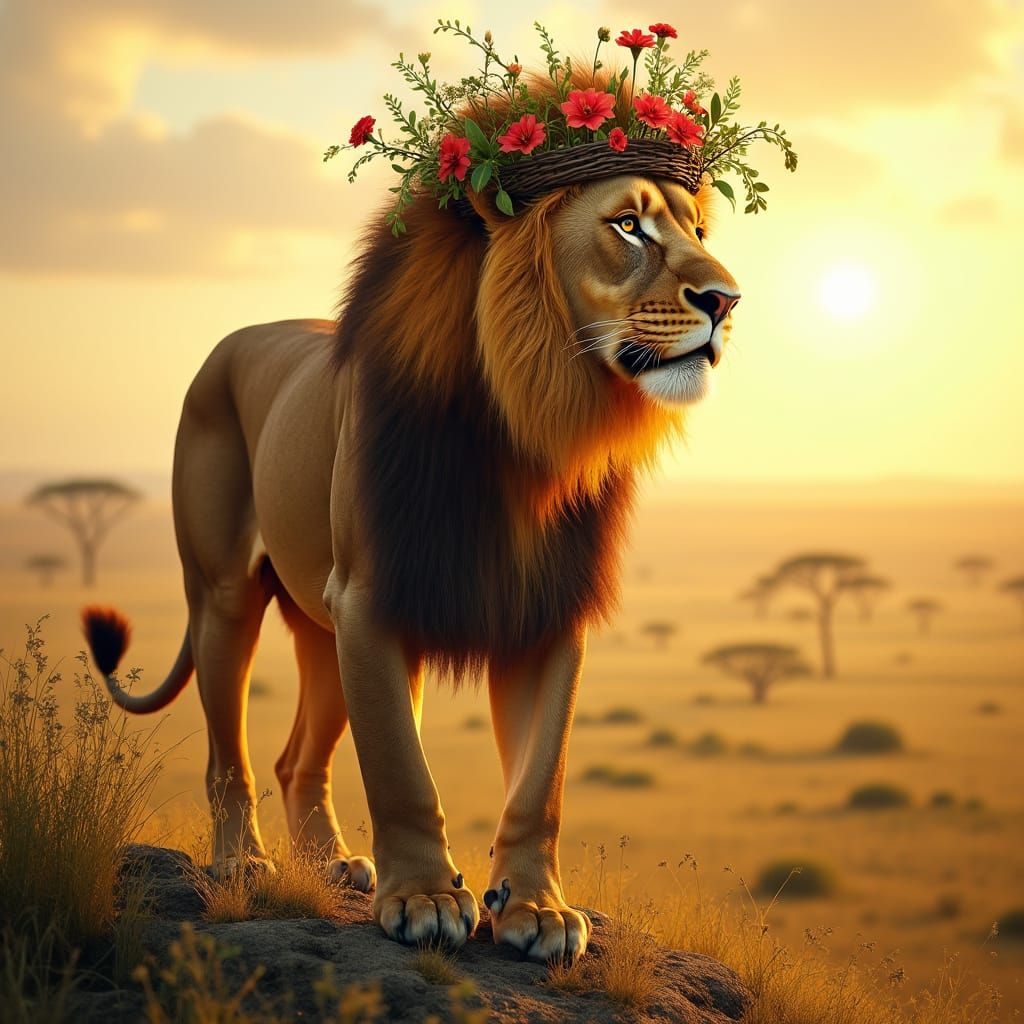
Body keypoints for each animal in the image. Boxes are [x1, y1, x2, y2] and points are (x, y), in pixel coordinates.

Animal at [84, 152, 739, 962]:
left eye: (699, 230)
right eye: (627, 225)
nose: (726, 301)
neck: (523, 428)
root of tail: (235, 338)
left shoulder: (546, 612)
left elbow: (539, 782)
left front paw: (538, 909)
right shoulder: (370, 598)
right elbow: (400, 767)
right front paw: (426, 898)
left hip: (322, 627)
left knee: (297, 759)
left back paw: (328, 864)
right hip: (224, 593)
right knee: (228, 753)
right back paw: (243, 861)